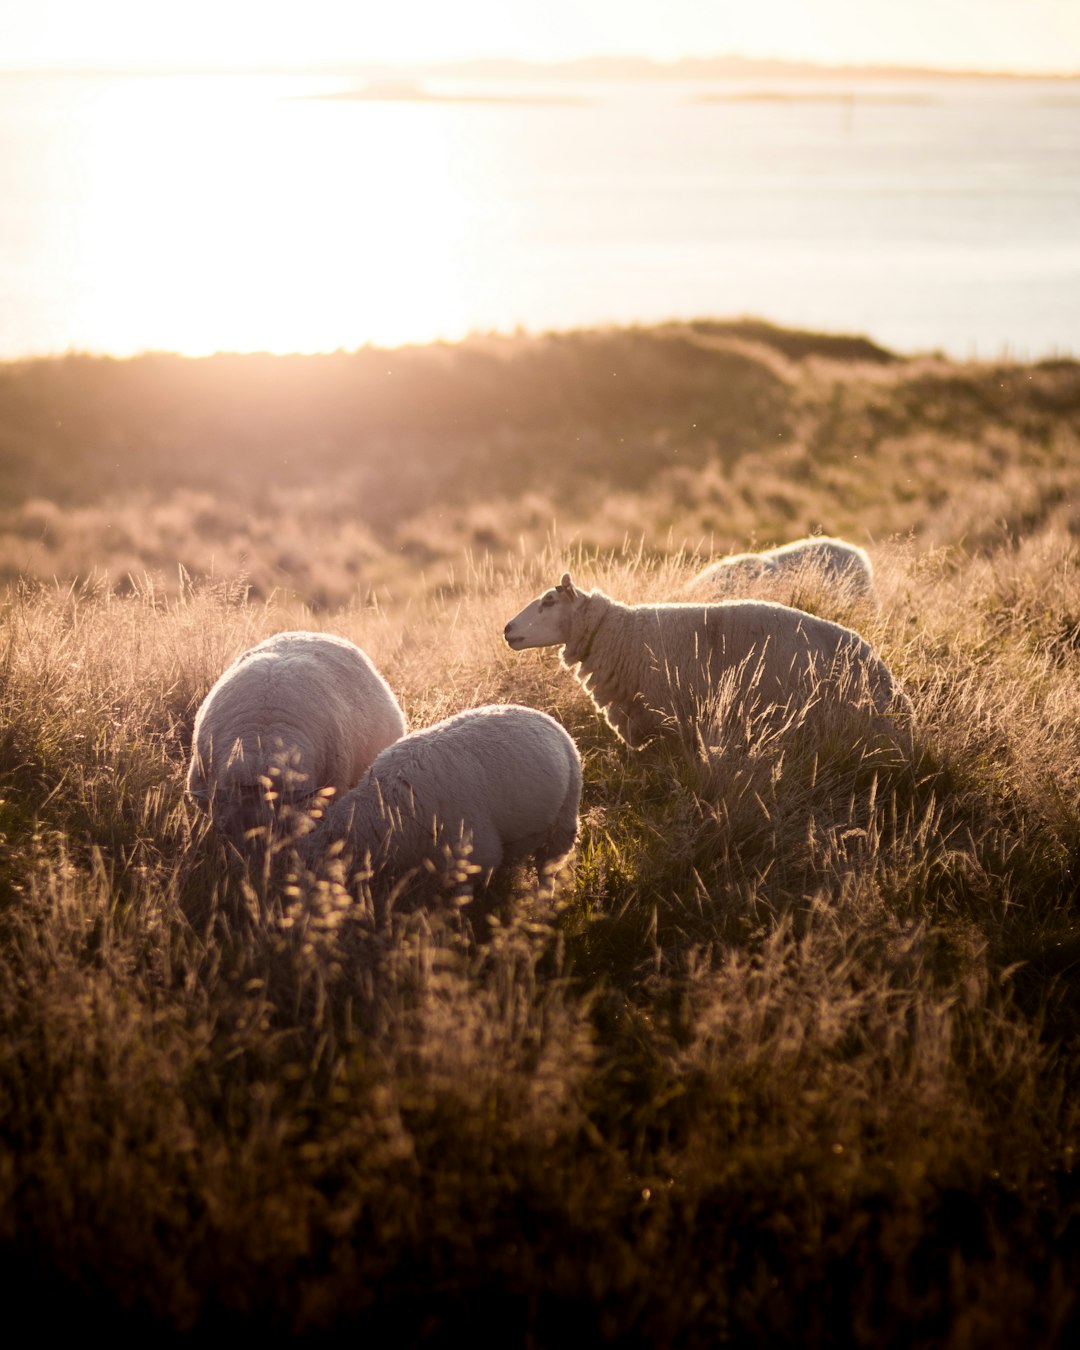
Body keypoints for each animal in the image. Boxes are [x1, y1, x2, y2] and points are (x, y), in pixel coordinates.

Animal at [299, 702, 583, 901]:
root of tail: (540, 714)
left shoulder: (474, 853)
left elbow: (461, 898)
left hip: (564, 820)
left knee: (548, 869)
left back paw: (542, 903)